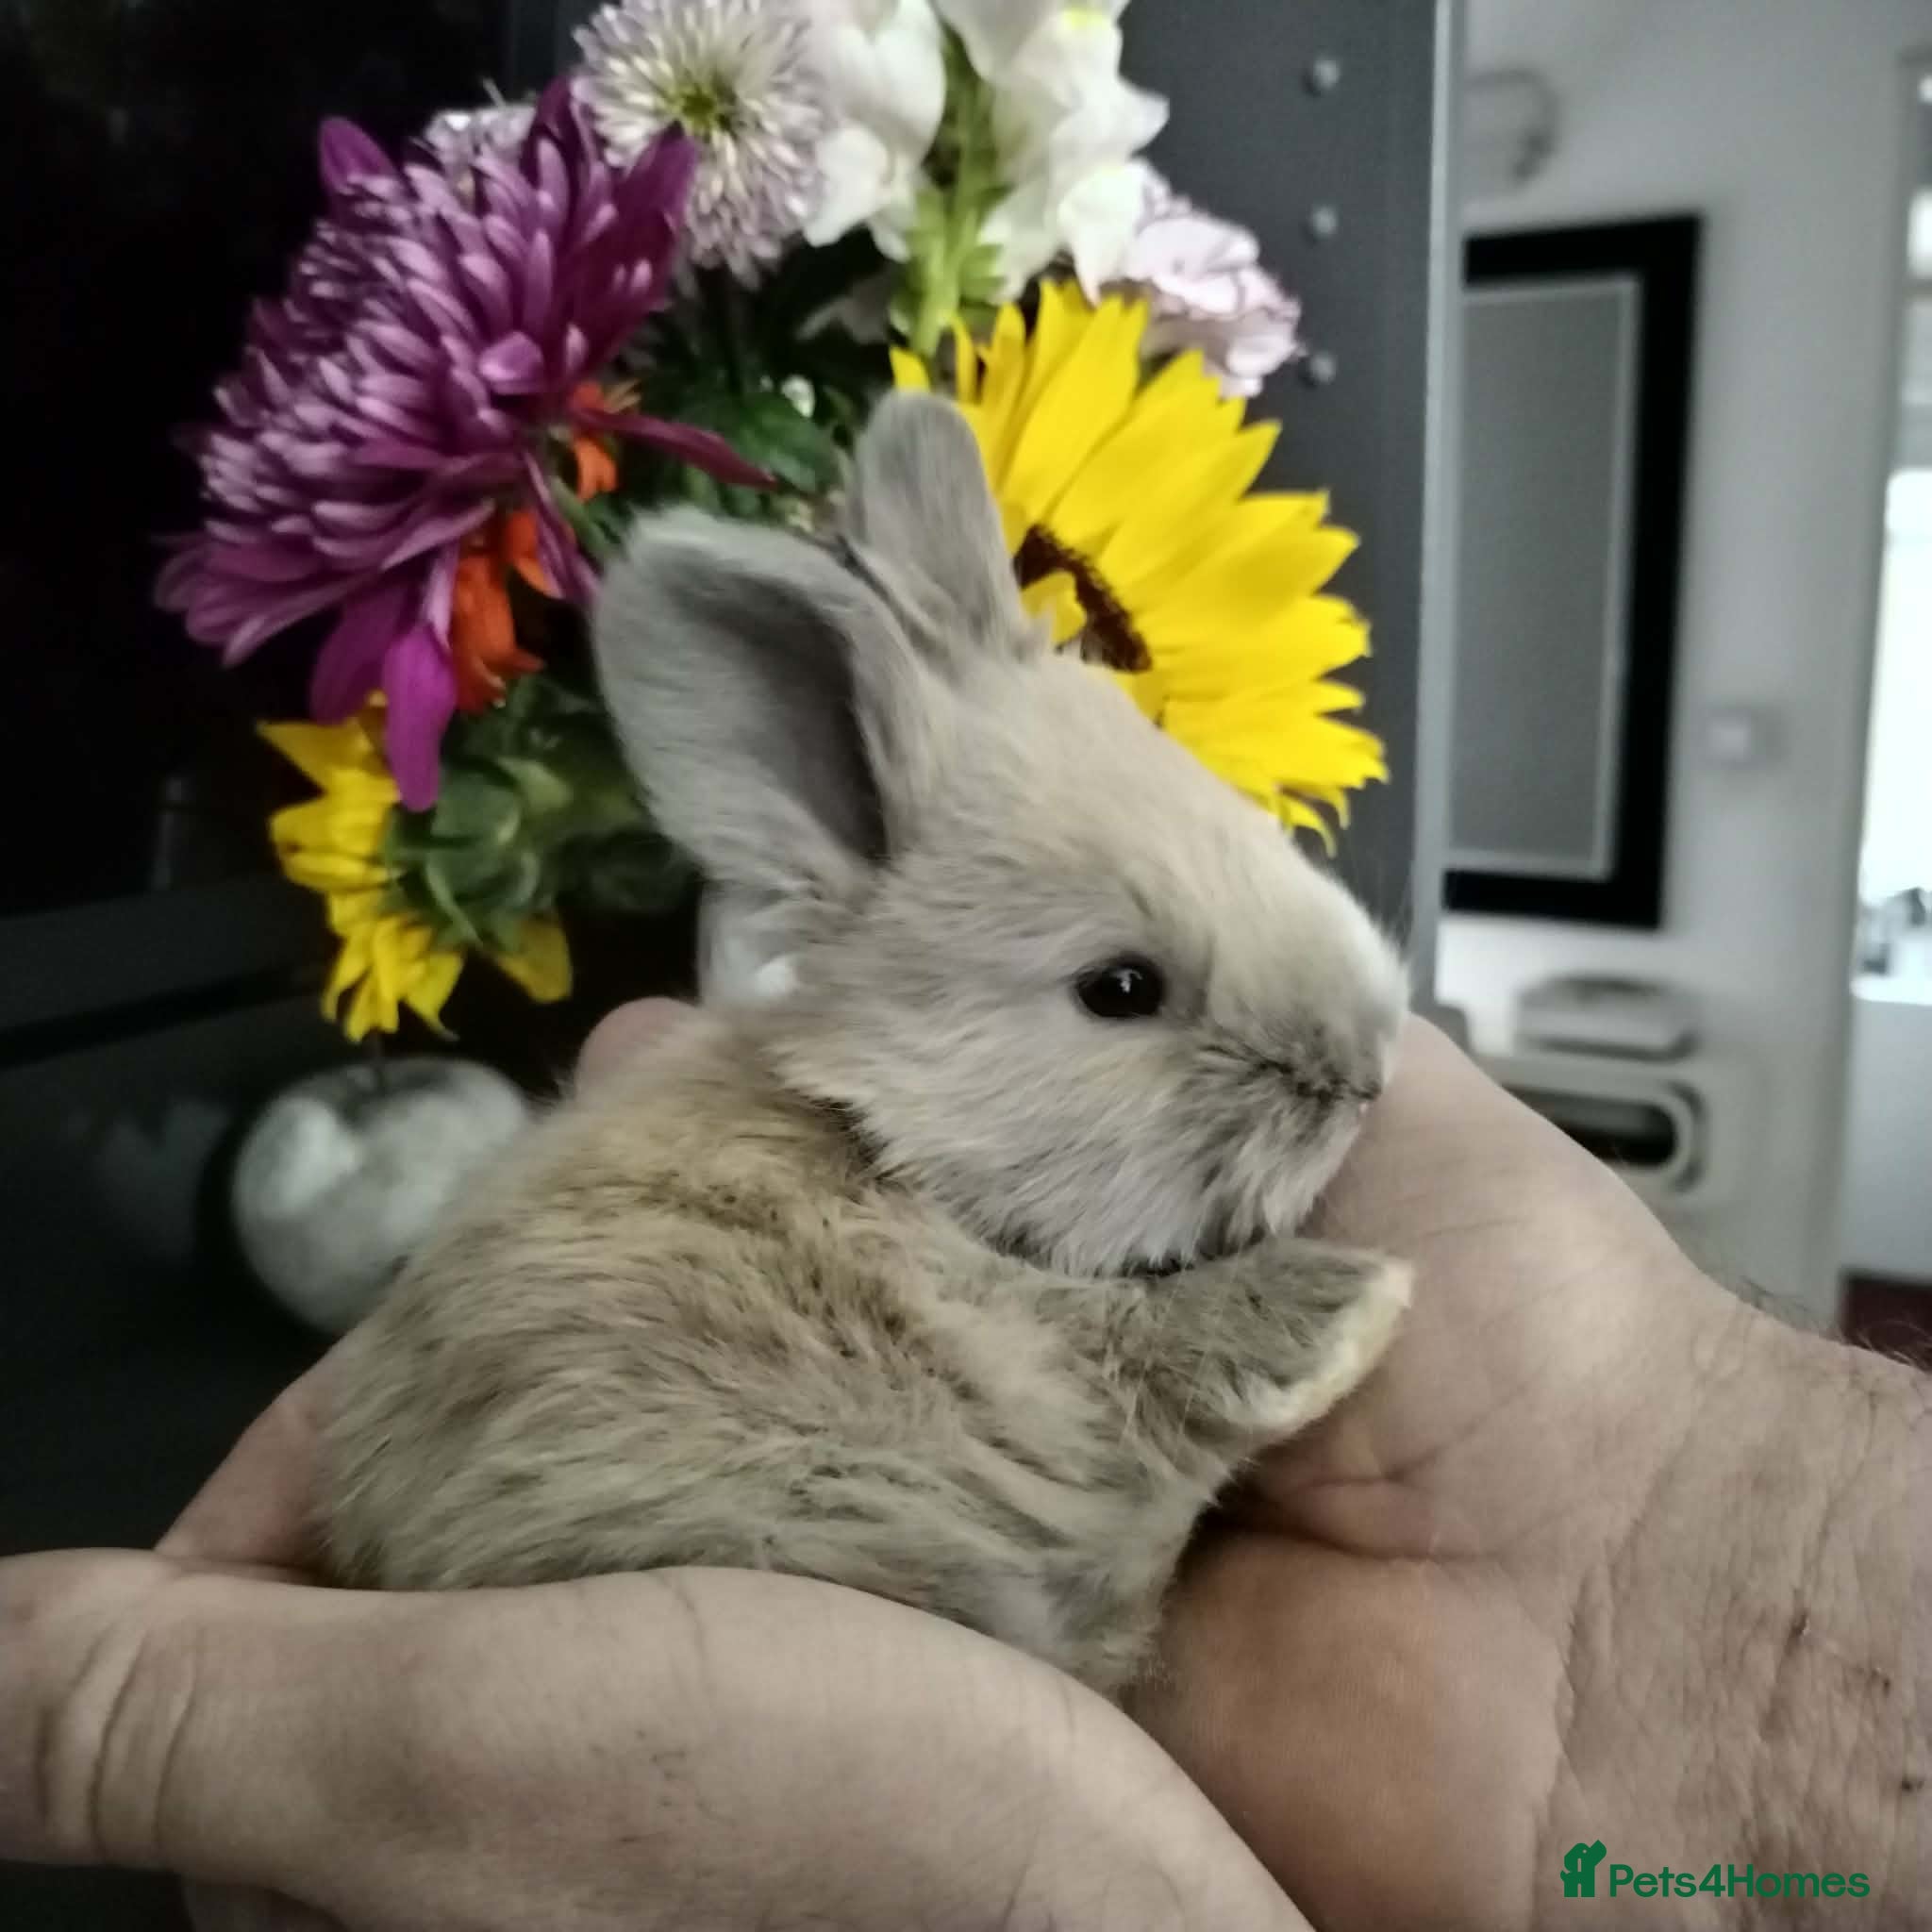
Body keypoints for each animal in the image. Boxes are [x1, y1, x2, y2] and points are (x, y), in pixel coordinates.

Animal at [317, 391, 1412, 1700]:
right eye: (1119, 988)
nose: (1362, 1073)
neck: (893, 1143)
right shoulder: (1029, 1349)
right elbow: (1148, 1352)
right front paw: (1358, 1303)